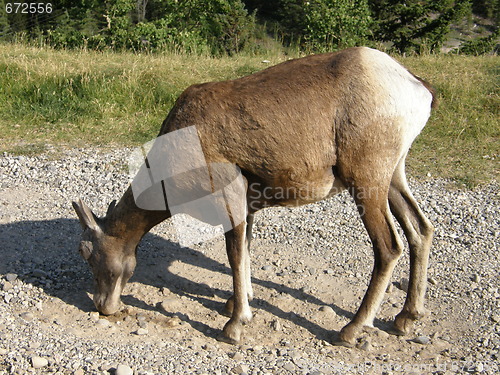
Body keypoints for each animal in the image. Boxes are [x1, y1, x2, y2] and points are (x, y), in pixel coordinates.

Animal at [72, 47, 436, 346]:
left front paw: (234, 326)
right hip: (393, 176)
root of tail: (416, 87)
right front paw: (235, 304)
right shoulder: (248, 207)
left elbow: (235, 255)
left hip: (367, 182)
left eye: (91, 255)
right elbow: (245, 251)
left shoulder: (230, 197)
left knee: (389, 247)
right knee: (420, 230)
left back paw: (351, 330)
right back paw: (405, 319)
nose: (103, 307)